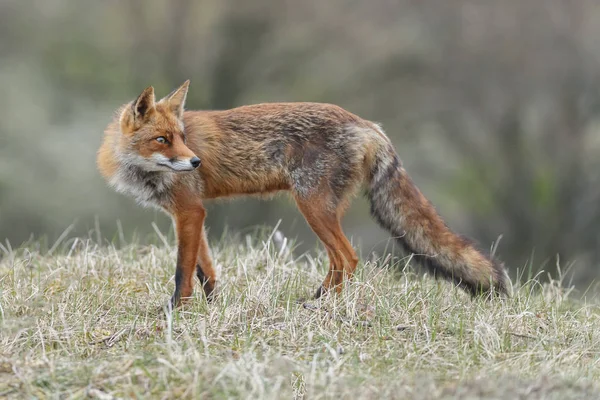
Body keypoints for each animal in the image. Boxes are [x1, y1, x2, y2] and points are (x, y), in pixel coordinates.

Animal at [98, 79, 510, 308]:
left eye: (181, 137)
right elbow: (206, 270)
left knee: (349, 258)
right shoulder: (190, 213)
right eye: (162, 139)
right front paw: (214, 307)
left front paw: (175, 312)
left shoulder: (189, 211)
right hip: (320, 209)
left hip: (311, 207)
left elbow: (182, 271)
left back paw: (322, 306)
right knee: (338, 262)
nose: (195, 162)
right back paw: (315, 300)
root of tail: (368, 125)